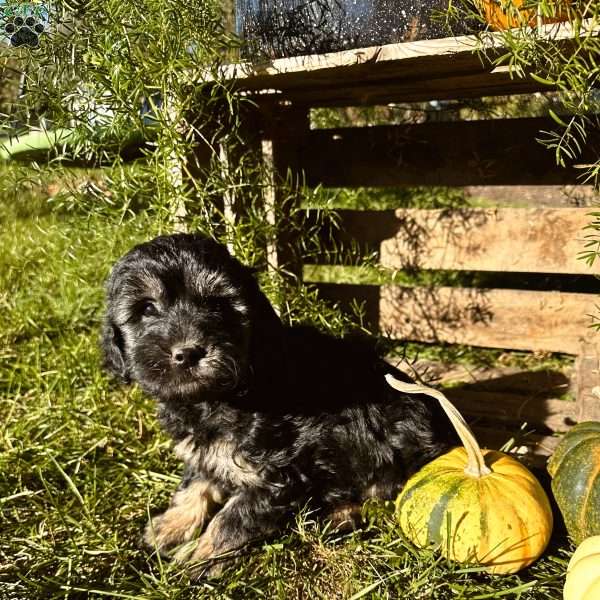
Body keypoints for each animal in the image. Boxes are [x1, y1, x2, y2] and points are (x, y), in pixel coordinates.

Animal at [102, 233, 450, 576]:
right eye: (147, 308)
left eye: (218, 305)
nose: (187, 353)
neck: (224, 394)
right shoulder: (207, 450)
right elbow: (196, 483)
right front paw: (169, 526)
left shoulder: (277, 473)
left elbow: (231, 520)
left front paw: (200, 558)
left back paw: (340, 514)